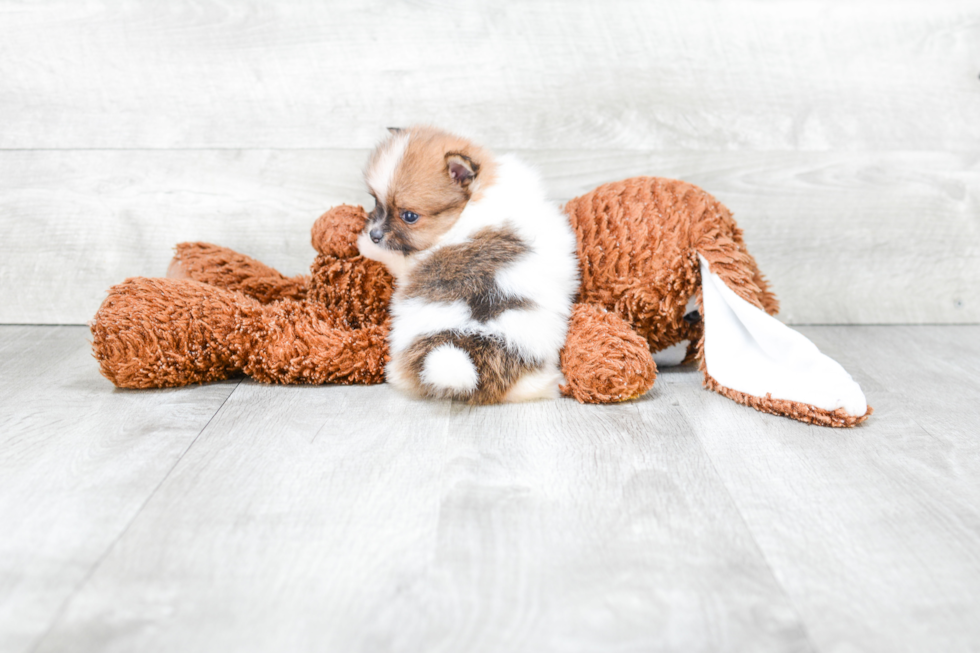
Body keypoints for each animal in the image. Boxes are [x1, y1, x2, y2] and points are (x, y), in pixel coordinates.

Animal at [356, 125, 580, 402]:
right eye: (376, 201)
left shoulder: (411, 258)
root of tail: (473, 341)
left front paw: (364, 244)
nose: (374, 234)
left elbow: (394, 255)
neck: (473, 201)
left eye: (409, 216)